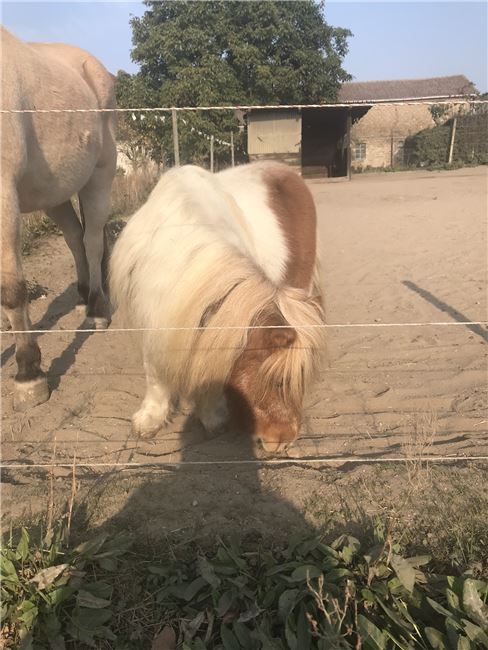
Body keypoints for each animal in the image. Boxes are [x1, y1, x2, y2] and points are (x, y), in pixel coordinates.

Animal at [0, 29, 117, 410]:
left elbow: (11, 289)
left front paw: (28, 374)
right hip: (55, 194)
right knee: (75, 237)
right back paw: (82, 297)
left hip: (100, 175)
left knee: (92, 241)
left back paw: (96, 308)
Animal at [110, 161, 324, 450]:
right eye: (278, 381)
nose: (284, 441)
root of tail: (282, 168)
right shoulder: (151, 317)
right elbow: (154, 372)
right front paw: (151, 419)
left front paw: (212, 416)